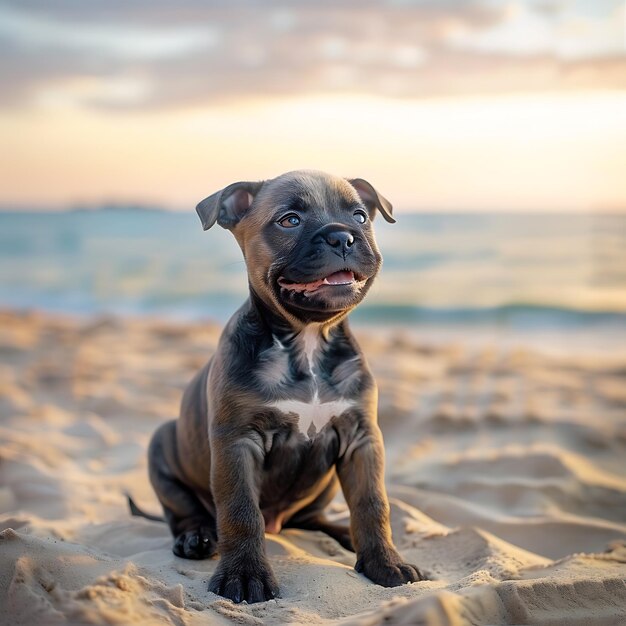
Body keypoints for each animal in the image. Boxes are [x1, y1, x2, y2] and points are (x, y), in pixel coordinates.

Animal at [144, 169, 422, 600]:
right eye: (289, 220)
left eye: (360, 216)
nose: (342, 236)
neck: (307, 341)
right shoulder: (237, 441)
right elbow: (240, 512)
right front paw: (244, 576)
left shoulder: (362, 439)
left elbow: (373, 504)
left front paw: (385, 562)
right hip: (161, 445)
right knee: (185, 511)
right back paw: (195, 538)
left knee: (312, 519)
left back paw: (342, 534)